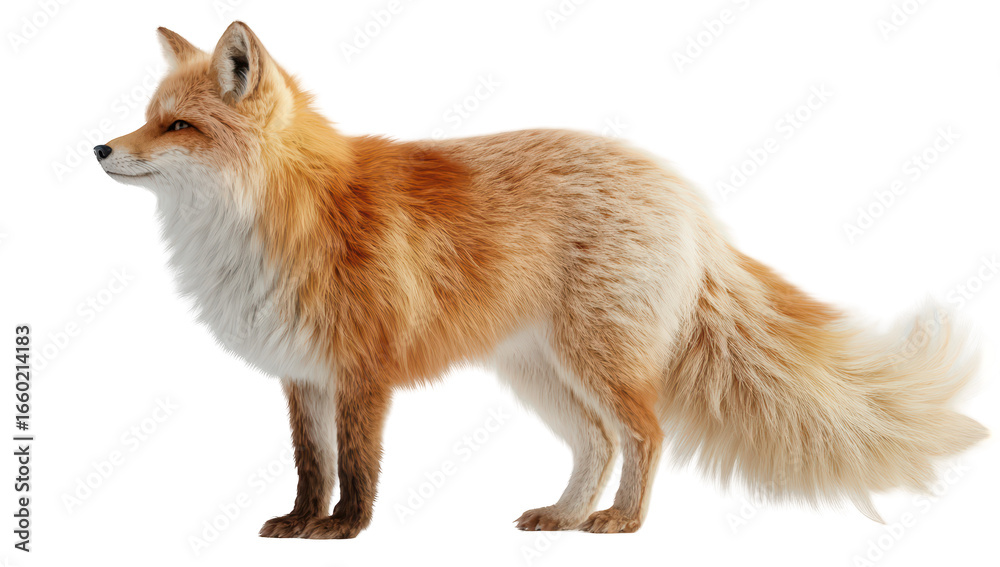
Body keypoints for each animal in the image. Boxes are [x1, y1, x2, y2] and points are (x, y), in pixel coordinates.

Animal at [95, 22, 987, 539]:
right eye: (147, 117)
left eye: (179, 126)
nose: (100, 148)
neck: (272, 218)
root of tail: (684, 193)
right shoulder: (302, 374)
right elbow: (310, 462)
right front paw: (299, 520)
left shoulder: (361, 371)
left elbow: (357, 462)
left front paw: (346, 530)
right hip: (544, 374)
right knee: (598, 441)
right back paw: (565, 512)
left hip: (597, 362)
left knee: (646, 434)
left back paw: (620, 519)